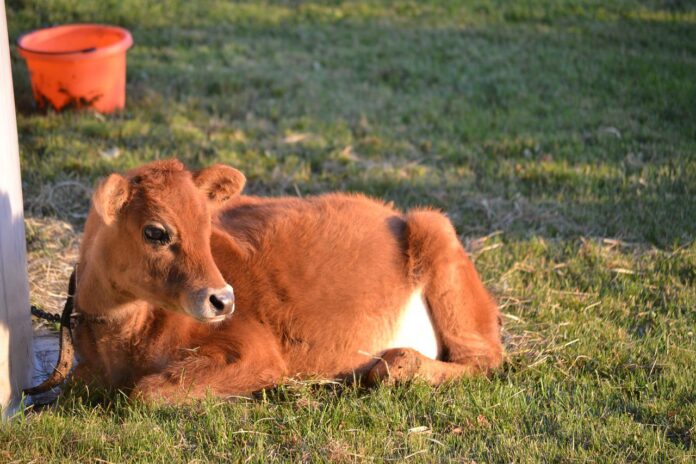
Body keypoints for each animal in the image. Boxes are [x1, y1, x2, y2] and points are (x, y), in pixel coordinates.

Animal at [67, 159, 503, 402]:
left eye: (207, 226)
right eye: (155, 232)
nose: (224, 300)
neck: (126, 342)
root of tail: (389, 211)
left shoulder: (257, 351)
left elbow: (147, 392)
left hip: (438, 236)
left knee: (484, 359)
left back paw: (398, 364)